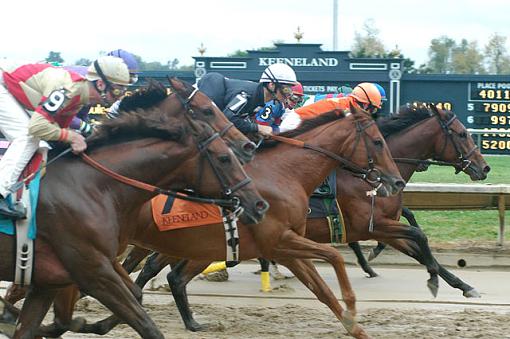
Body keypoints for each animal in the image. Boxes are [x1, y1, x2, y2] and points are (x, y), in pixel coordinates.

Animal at [2, 78, 266, 338]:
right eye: (207, 110)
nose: (248, 147)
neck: (94, 185)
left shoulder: (83, 268)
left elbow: (131, 295)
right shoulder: (93, 269)